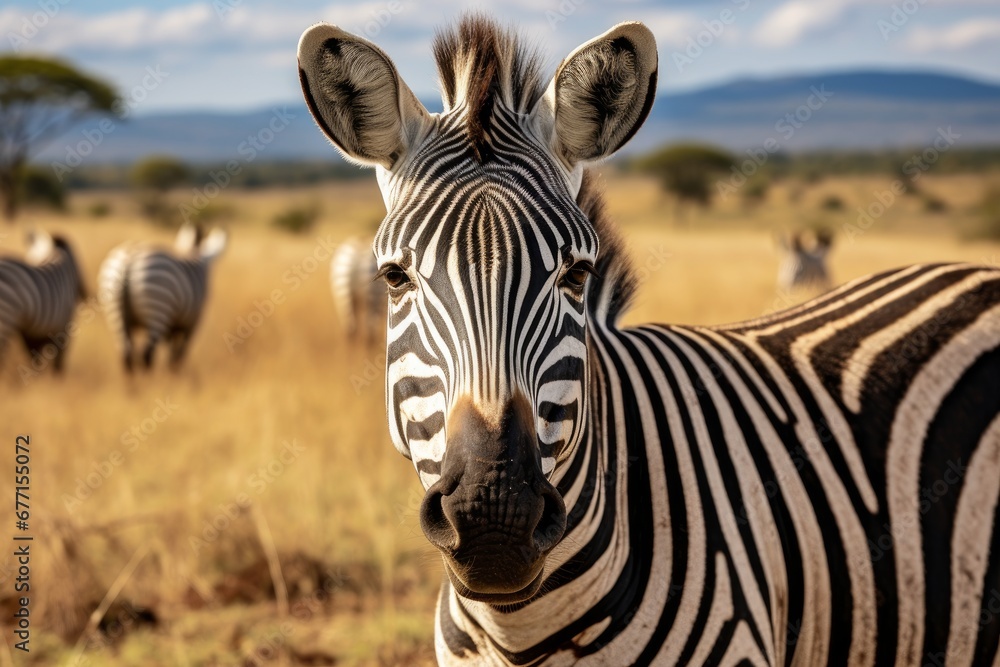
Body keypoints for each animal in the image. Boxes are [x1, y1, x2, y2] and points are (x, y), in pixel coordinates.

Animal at [98, 224, 227, 372]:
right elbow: (180, 353)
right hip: (158, 311)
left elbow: (171, 352)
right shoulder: (192, 323)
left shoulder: (172, 325)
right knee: (146, 355)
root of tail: (129, 259)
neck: (194, 256)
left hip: (116, 314)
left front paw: (172, 371)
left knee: (126, 355)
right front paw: (175, 372)